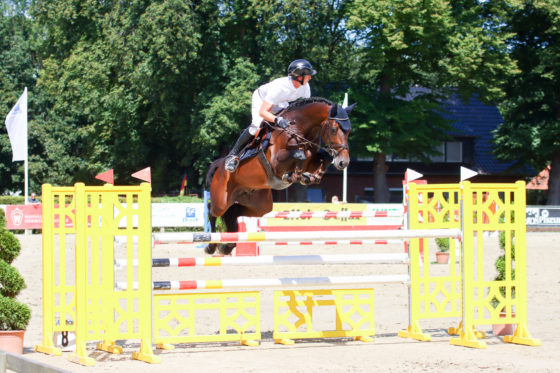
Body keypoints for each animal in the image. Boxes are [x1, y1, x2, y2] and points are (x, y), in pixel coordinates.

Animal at [206, 96, 354, 254]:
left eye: (349, 131)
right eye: (333, 130)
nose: (343, 162)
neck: (298, 130)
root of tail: (219, 165)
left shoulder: (312, 159)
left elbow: (324, 157)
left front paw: (310, 177)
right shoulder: (276, 162)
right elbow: (299, 154)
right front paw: (294, 176)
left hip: (259, 205)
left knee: (233, 212)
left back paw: (226, 246)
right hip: (222, 200)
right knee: (212, 211)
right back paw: (210, 246)